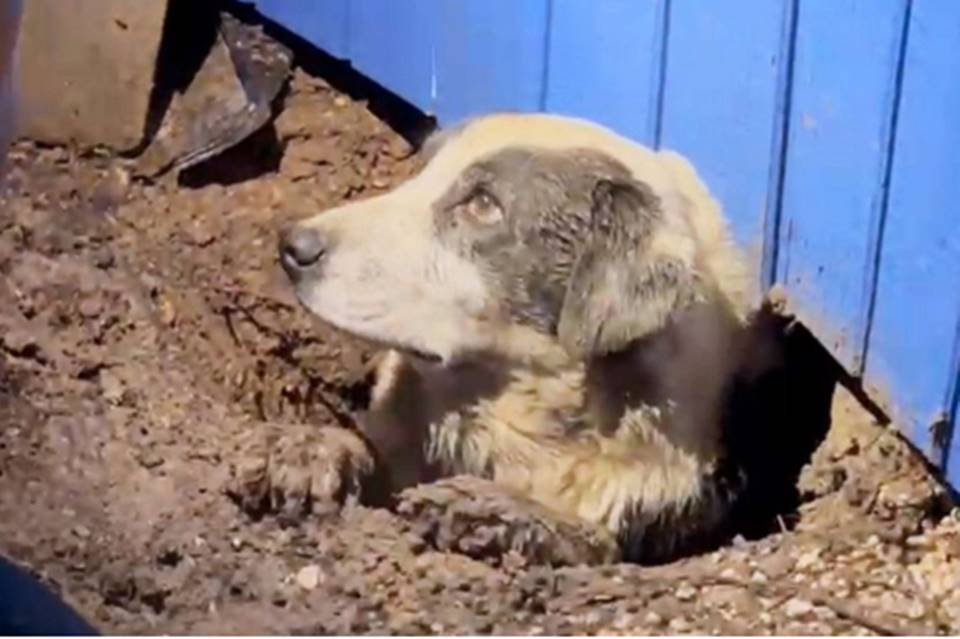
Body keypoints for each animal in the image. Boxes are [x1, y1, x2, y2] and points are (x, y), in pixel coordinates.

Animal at [276, 115, 756, 564]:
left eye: (483, 203)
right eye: (421, 172)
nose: (292, 246)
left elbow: (592, 535)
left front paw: (488, 509)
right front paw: (309, 453)